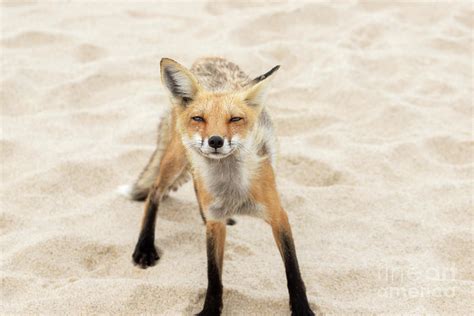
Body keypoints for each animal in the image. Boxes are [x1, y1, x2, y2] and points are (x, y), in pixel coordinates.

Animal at [124, 57, 312, 316]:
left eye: (235, 119)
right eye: (199, 118)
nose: (215, 141)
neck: (232, 191)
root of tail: (206, 58)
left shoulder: (278, 215)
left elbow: (293, 270)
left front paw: (302, 309)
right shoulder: (215, 222)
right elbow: (213, 275)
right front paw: (210, 310)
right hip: (176, 159)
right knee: (154, 193)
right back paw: (145, 246)